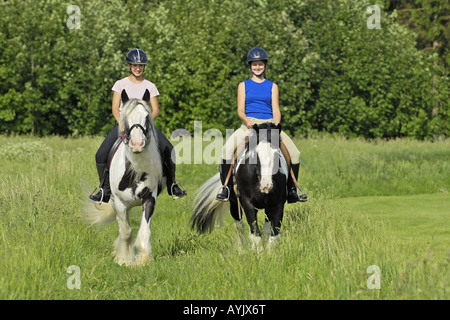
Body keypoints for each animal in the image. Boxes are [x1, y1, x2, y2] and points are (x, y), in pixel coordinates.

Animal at [83, 89, 165, 264]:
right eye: (125, 117)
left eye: (146, 117)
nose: (137, 144)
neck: (134, 171)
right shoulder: (119, 203)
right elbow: (126, 231)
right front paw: (124, 259)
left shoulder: (149, 199)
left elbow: (144, 231)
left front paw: (142, 260)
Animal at [191, 122, 288, 250]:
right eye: (256, 154)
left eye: (277, 154)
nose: (266, 185)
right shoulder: (247, 203)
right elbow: (255, 232)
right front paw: (257, 252)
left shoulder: (277, 204)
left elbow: (274, 233)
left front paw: (269, 253)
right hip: (233, 202)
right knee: (239, 224)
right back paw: (242, 249)